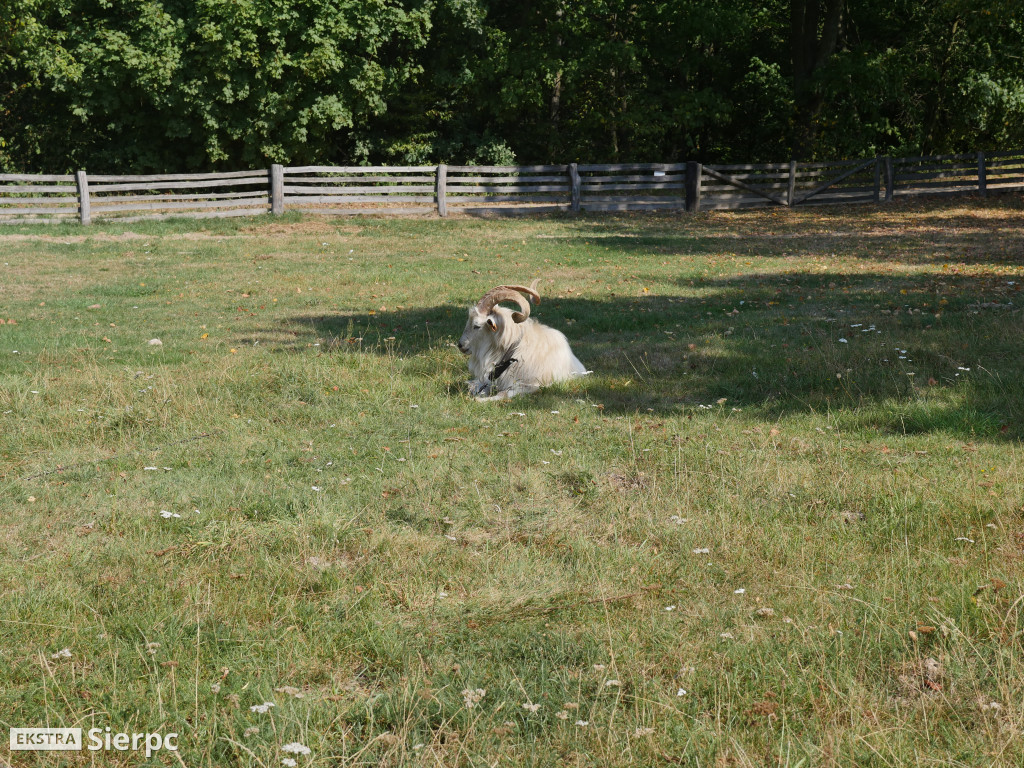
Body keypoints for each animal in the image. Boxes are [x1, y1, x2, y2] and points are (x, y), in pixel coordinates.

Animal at [456, 282, 585, 403]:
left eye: (477, 326)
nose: (460, 345)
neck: (513, 351)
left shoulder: (532, 386)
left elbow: (504, 393)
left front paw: (479, 400)